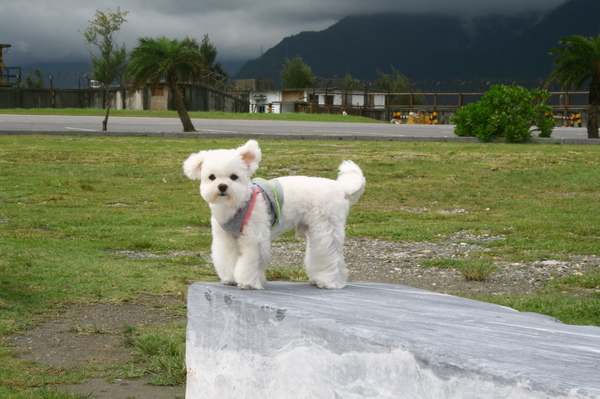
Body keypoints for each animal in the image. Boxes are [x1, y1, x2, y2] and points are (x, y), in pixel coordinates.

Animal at [183, 141, 364, 290]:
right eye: (211, 177)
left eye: (234, 177)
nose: (222, 186)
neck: (239, 203)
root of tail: (341, 188)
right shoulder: (226, 239)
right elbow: (228, 259)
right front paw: (231, 278)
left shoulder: (254, 237)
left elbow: (250, 261)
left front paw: (249, 283)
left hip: (326, 228)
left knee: (332, 255)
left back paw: (330, 282)